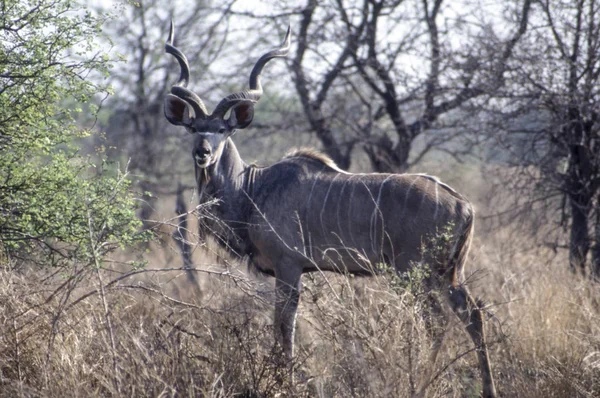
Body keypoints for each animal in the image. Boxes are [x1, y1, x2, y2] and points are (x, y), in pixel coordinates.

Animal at [163, 23, 496, 396]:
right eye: (193, 128)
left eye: (222, 129)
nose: (203, 153)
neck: (252, 189)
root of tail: (463, 204)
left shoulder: (289, 267)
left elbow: (285, 327)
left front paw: (285, 382)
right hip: (449, 273)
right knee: (473, 314)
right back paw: (487, 388)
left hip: (416, 272)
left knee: (437, 322)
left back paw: (421, 385)